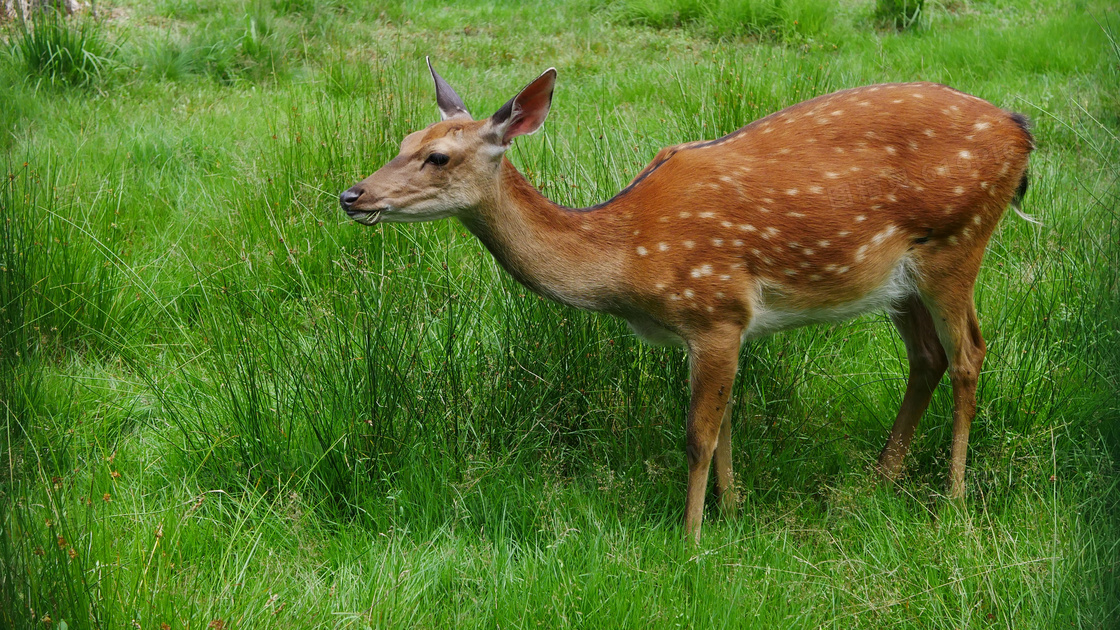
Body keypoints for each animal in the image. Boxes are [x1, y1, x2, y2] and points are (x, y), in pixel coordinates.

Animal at [336, 59, 1034, 540]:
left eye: (437, 156)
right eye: (402, 140)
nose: (352, 195)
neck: (627, 258)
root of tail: (1022, 132)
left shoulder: (715, 308)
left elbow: (698, 434)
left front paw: (692, 536)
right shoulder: (718, 328)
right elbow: (724, 425)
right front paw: (734, 511)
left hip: (958, 240)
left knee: (970, 353)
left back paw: (952, 498)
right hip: (898, 279)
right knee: (927, 357)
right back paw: (878, 480)